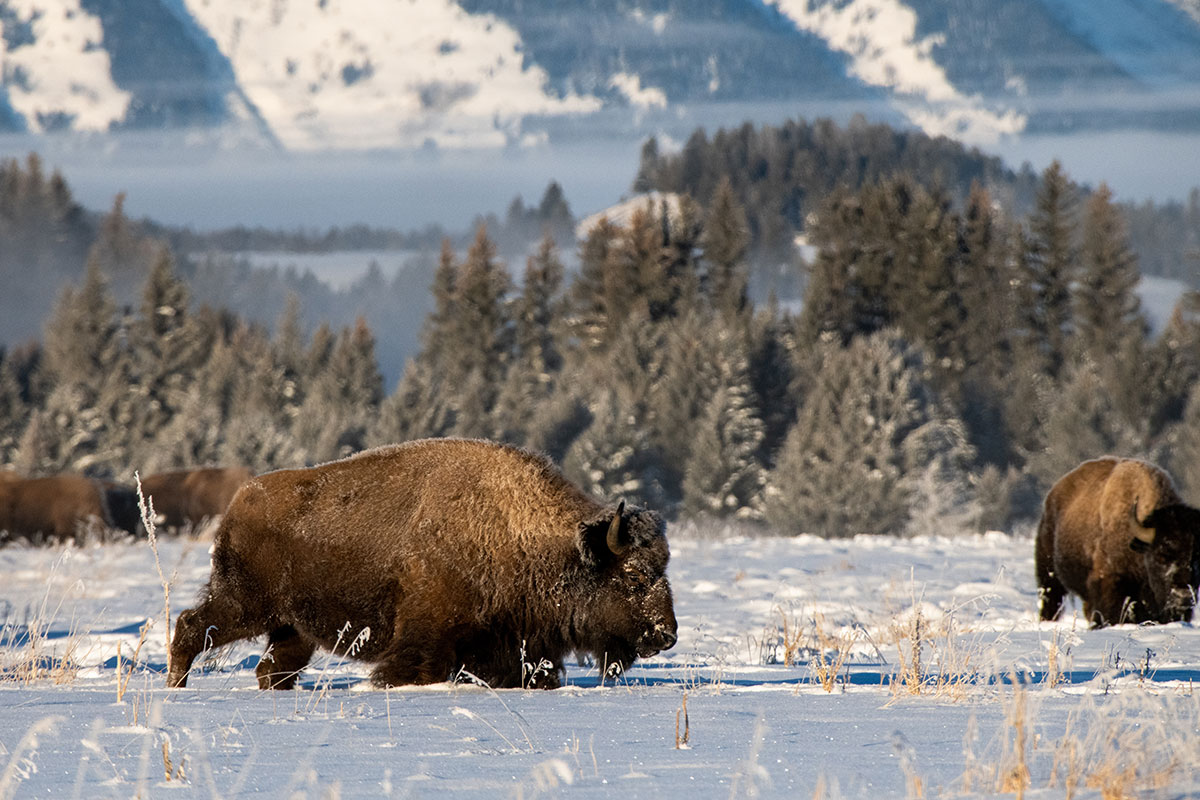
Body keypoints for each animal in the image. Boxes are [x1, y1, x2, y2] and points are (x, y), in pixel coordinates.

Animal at [167, 438, 677, 690]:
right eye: (634, 575)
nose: (666, 636)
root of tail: (239, 502)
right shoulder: (427, 634)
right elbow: (412, 669)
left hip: (292, 626)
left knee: (273, 667)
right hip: (246, 605)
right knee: (192, 624)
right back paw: (176, 685)